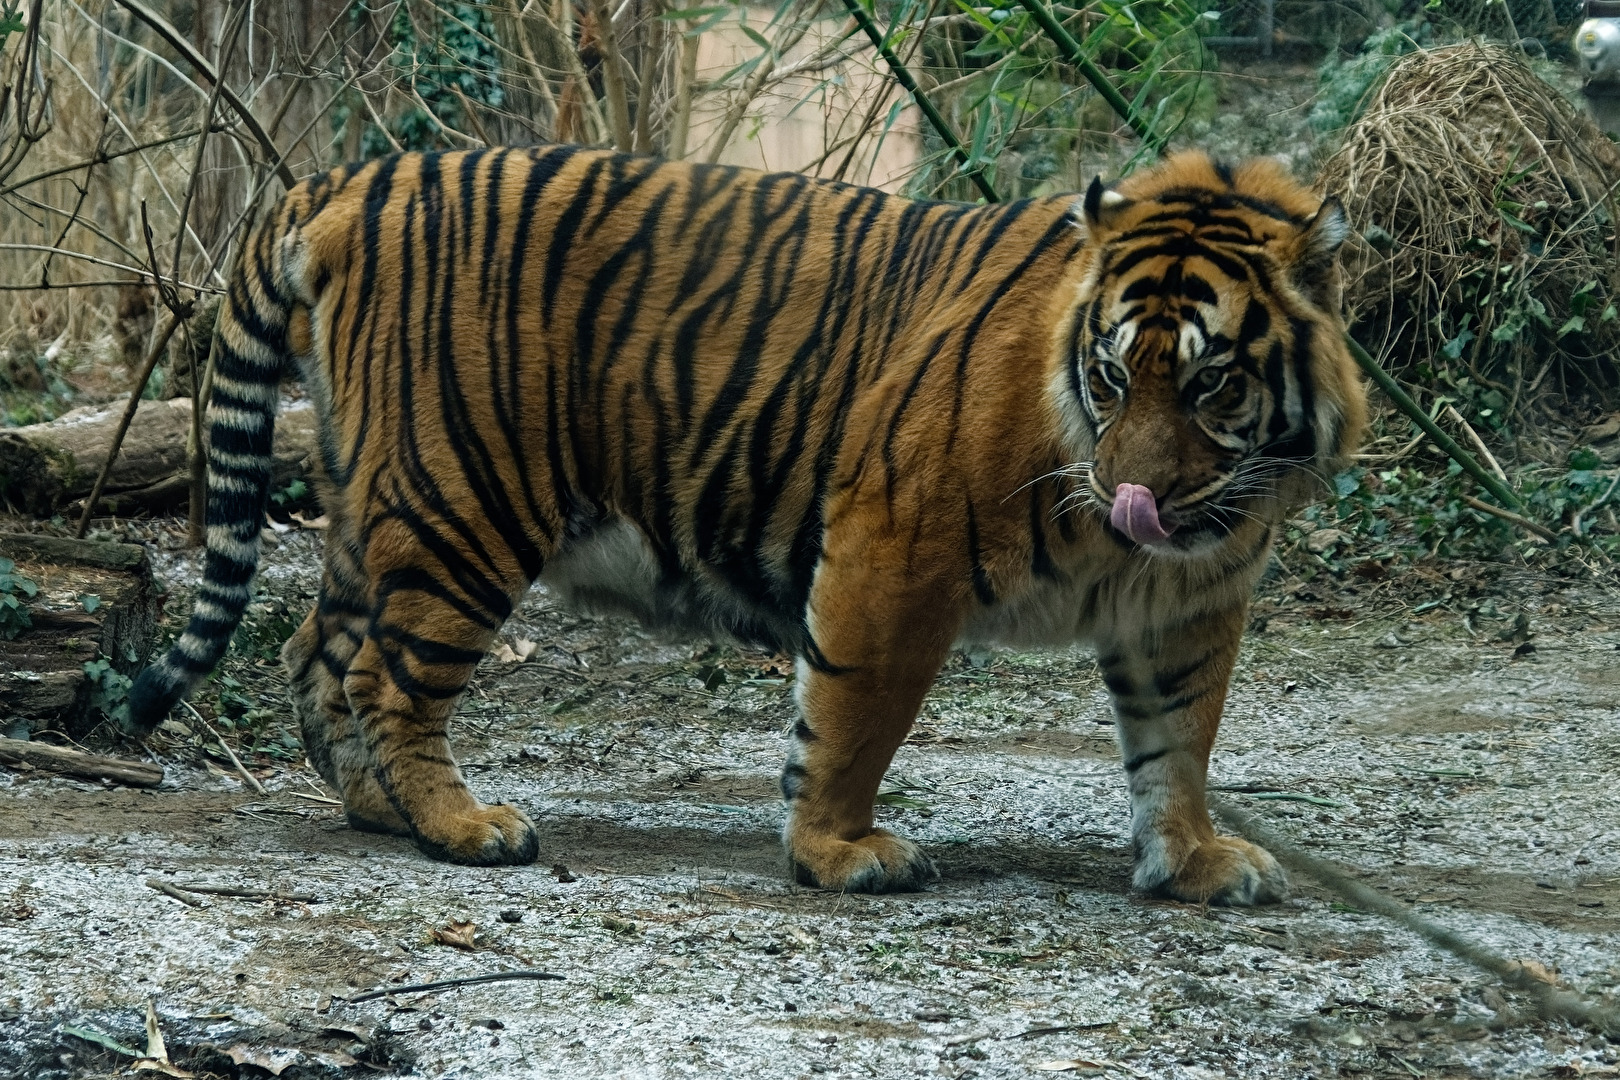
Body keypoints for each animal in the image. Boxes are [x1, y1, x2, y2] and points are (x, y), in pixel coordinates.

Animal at [126, 147, 1365, 904]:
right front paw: (838, 851)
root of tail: (352, 177)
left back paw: (381, 811)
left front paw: (1193, 859)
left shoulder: (1188, 604)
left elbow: (1180, 740)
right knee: (385, 676)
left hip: (372, 496)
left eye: (1210, 386)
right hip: (460, 503)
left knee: (319, 651)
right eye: (1110, 376)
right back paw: (460, 827)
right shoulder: (891, 543)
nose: (1130, 502)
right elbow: (854, 716)